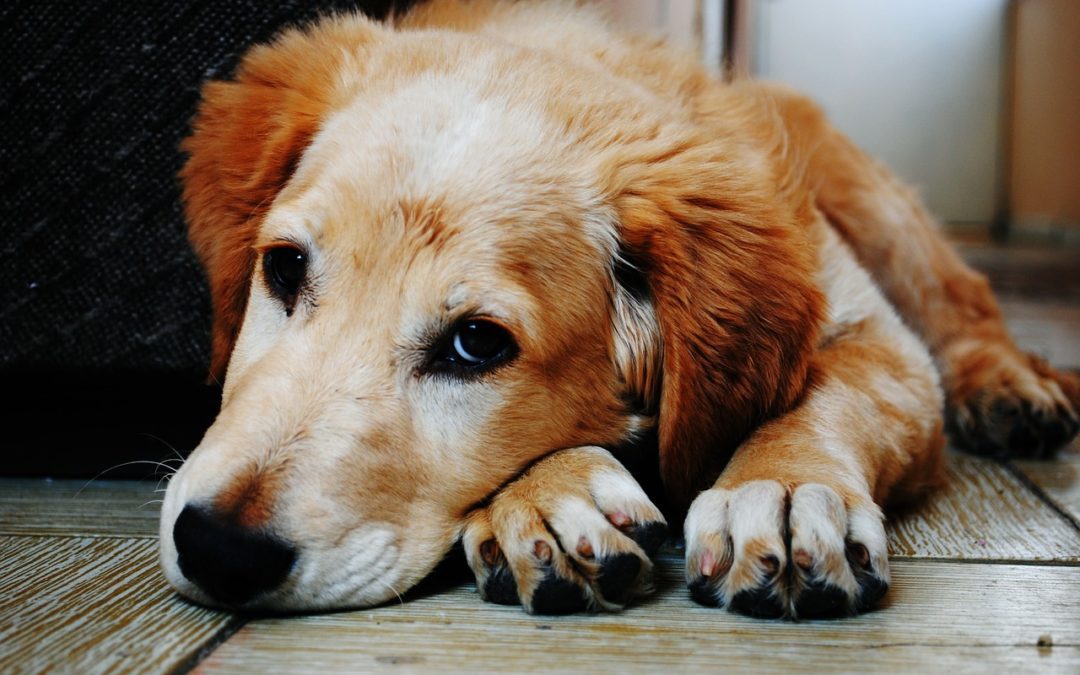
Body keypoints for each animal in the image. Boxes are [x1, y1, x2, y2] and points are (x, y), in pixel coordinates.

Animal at [159, 0, 1080, 617]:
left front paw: (782, 486)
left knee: (965, 304)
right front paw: (550, 496)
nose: (217, 548)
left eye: (476, 344)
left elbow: (829, 395)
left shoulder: (880, 340)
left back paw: (1011, 388)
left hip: (874, 203)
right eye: (283, 268)